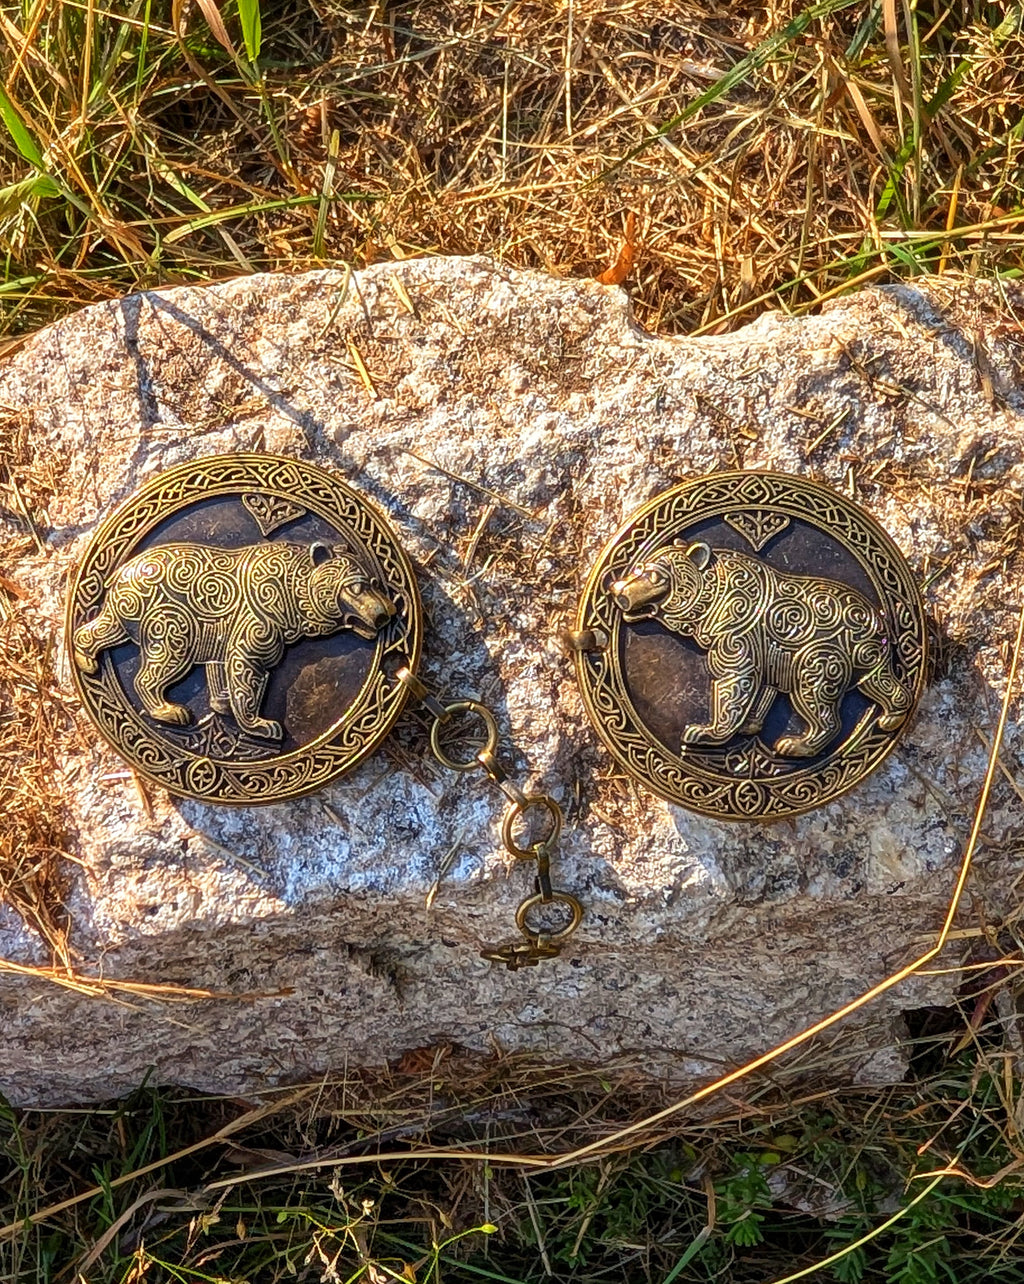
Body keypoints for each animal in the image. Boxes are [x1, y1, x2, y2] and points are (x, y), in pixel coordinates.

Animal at [73, 540, 396, 741]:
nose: (387, 614)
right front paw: (262, 724)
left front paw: (224, 704)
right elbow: (249, 667)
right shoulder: (258, 619)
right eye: (355, 587)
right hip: (170, 617)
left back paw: (85, 658)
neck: (290, 597)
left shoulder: (225, 631)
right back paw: (169, 710)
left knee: (105, 627)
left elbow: (224, 670)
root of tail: (122, 571)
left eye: (375, 583)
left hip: (127, 609)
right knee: (160, 662)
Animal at [609, 540, 912, 758]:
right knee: (879, 683)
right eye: (637, 568)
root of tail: (878, 619)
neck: (711, 603)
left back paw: (797, 745)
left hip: (822, 655)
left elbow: (733, 682)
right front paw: (749, 725)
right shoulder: (768, 652)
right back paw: (891, 717)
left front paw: (706, 732)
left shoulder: (738, 636)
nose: (617, 590)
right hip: (866, 657)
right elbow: (763, 690)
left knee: (820, 699)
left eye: (654, 575)